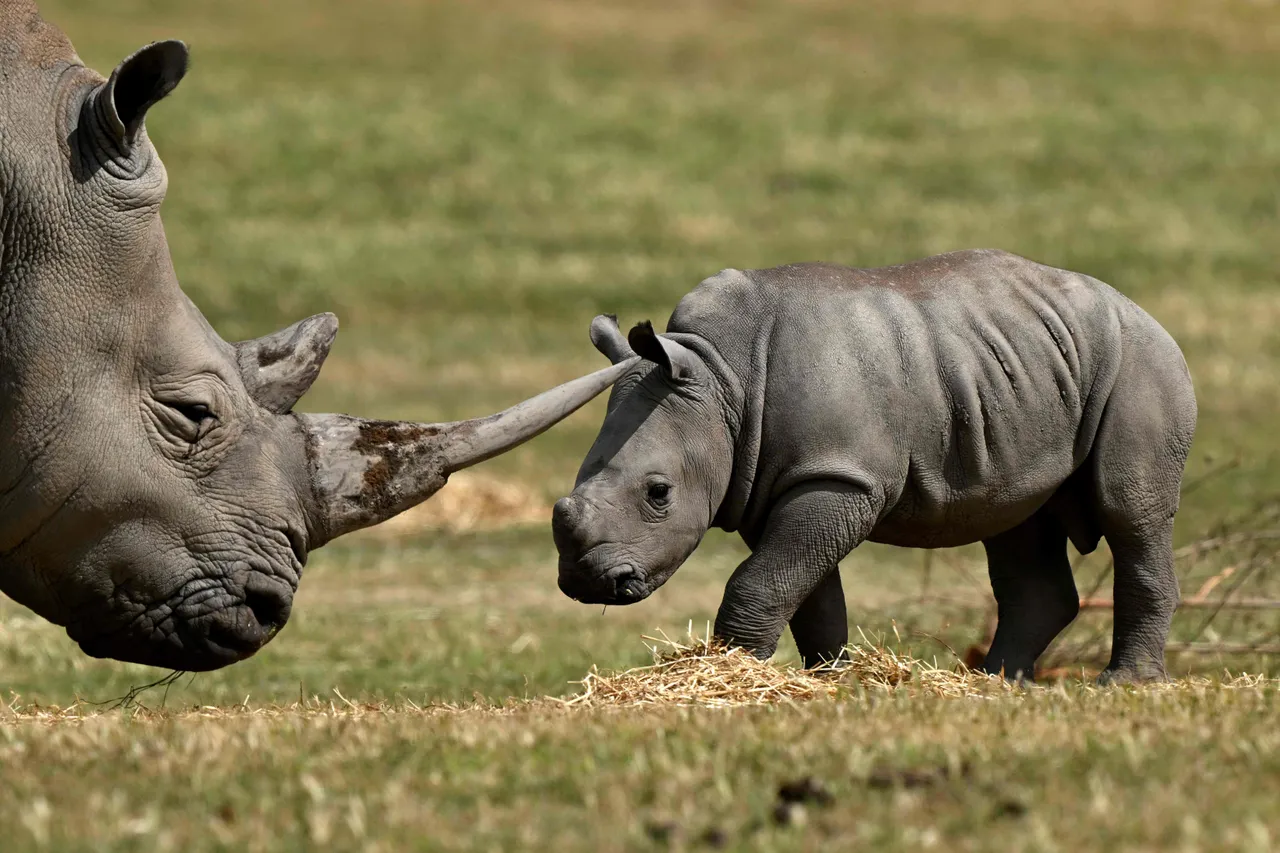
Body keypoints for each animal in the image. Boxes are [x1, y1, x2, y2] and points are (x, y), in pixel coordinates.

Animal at [553, 250, 1197, 682]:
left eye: (658, 492)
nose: (588, 581)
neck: (720, 379)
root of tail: (1144, 313)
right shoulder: (788, 478)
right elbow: (804, 589)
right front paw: (828, 681)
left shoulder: (841, 477)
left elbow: (763, 579)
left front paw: (736, 671)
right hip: (1022, 374)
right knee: (1017, 522)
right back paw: (993, 684)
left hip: (1140, 362)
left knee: (1129, 512)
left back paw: (1124, 685)